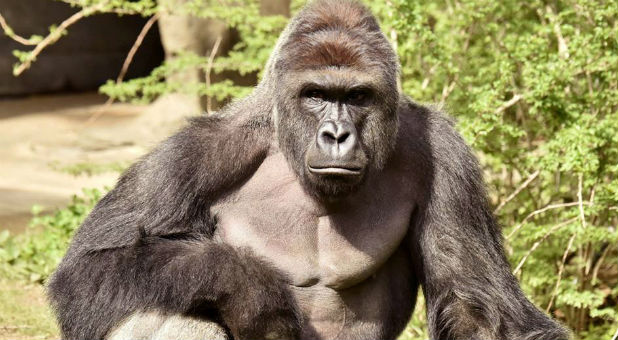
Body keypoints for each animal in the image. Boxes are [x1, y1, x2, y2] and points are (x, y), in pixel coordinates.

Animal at [47, 1, 568, 338]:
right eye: (316, 94)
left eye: (357, 96)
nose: (337, 135)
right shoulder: (193, 154)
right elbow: (89, 270)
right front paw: (250, 288)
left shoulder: (444, 155)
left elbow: (477, 308)